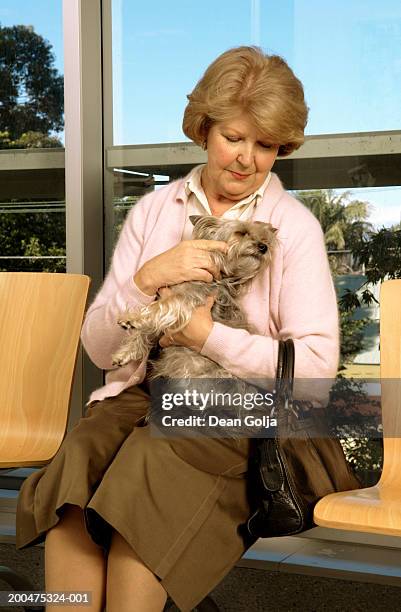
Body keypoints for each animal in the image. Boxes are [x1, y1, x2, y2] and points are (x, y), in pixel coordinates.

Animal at [111, 213, 276, 380]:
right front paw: (125, 353)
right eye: (241, 233)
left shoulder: (188, 299)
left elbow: (162, 307)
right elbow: (147, 331)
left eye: (265, 239)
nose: (264, 247)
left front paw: (133, 319)